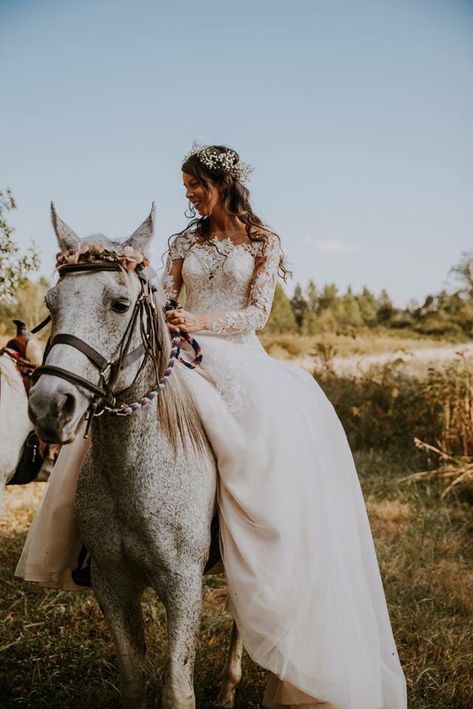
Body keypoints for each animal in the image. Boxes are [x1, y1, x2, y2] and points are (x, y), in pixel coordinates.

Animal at [28, 205, 243, 708]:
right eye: (51, 304)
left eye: (120, 305)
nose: (49, 407)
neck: (131, 472)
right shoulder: (112, 583)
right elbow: (132, 678)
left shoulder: (183, 587)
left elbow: (177, 690)